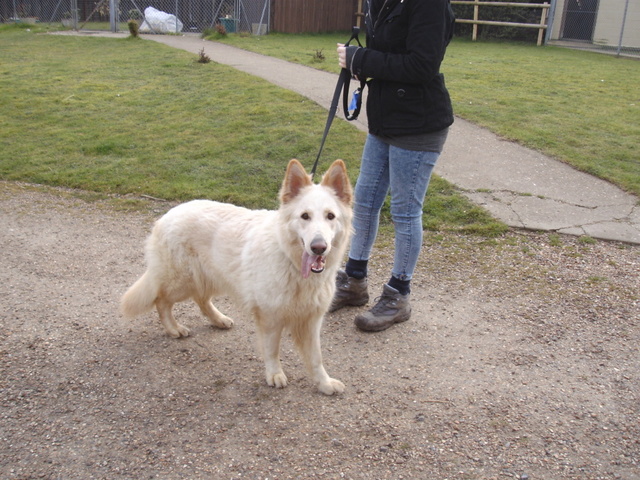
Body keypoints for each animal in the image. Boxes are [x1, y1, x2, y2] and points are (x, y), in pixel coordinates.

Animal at [120, 159, 350, 396]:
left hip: (213, 277)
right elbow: (272, 350)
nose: (319, 247)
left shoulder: (312, 320)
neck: (290, 261)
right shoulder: (270, 318)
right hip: (182, 282)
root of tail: (168, 214)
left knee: (201, 300)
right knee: (161, 300)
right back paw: (174, 328)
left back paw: (218, 320)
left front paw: (324, 383)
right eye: (305, 216)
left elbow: (316, 358)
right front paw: (274, 374)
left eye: (330, 216)